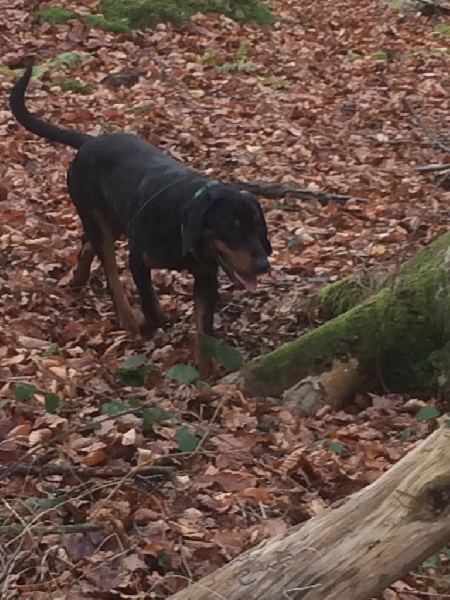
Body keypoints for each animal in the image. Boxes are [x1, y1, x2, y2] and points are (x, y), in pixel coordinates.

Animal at [9, 60, 272, 374]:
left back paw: (79, 276)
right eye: (232, 227)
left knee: (87, 243)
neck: (182, 222)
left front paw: (206, 376)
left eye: (257, 227)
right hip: (99, 217)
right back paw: (127, 318)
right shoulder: (138, 258)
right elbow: (150, 305)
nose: (263, 265)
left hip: (115, 219)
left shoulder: (207, 275)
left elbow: (203, 331)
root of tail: (89, 141)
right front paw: (150, 322)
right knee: (109, 267)